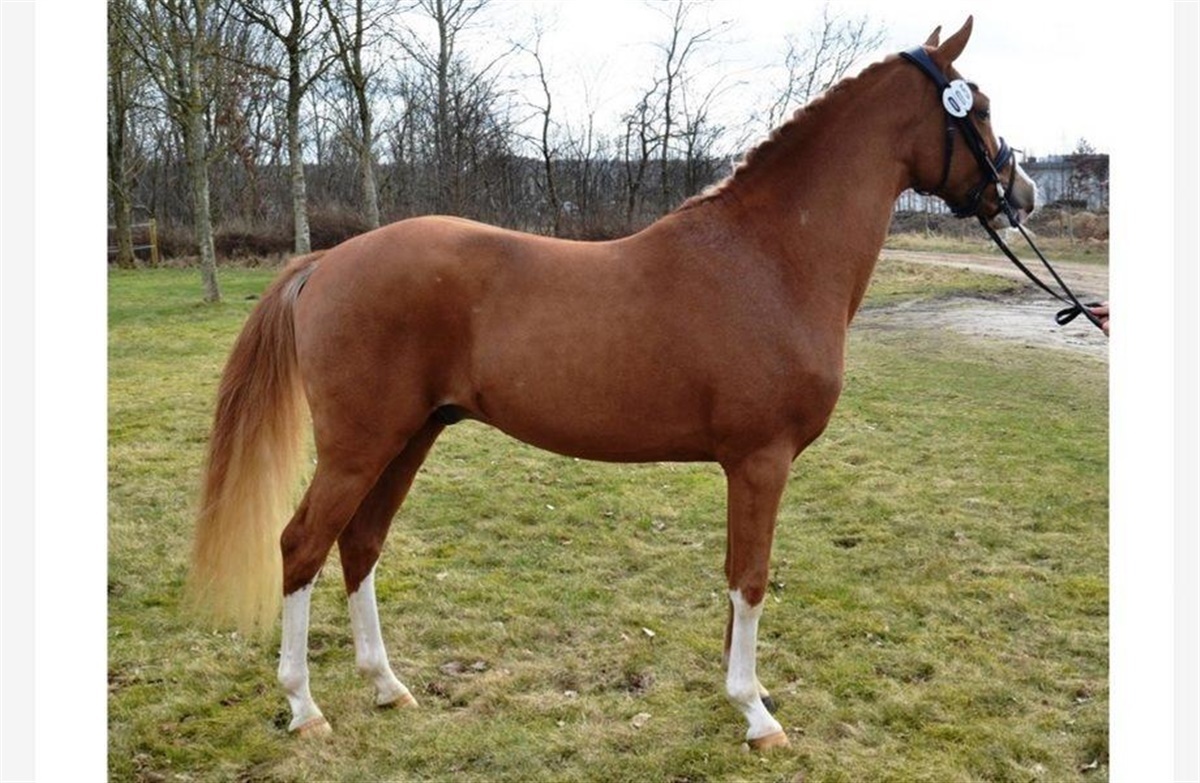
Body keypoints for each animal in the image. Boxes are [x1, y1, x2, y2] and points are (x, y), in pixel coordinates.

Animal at [188, 17, 1038, 750]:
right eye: (980, 109)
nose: (1022, 193)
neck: (770, 259)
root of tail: (326, 261)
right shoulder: (761, 460)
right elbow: (751, 579)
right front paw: (755, 713)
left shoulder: (746, 466)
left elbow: (735, 579)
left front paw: (740, 696)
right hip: (359, 446)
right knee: (302, 544)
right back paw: (304, 706)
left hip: (409, 436)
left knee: (360, 542)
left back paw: (388, 686)